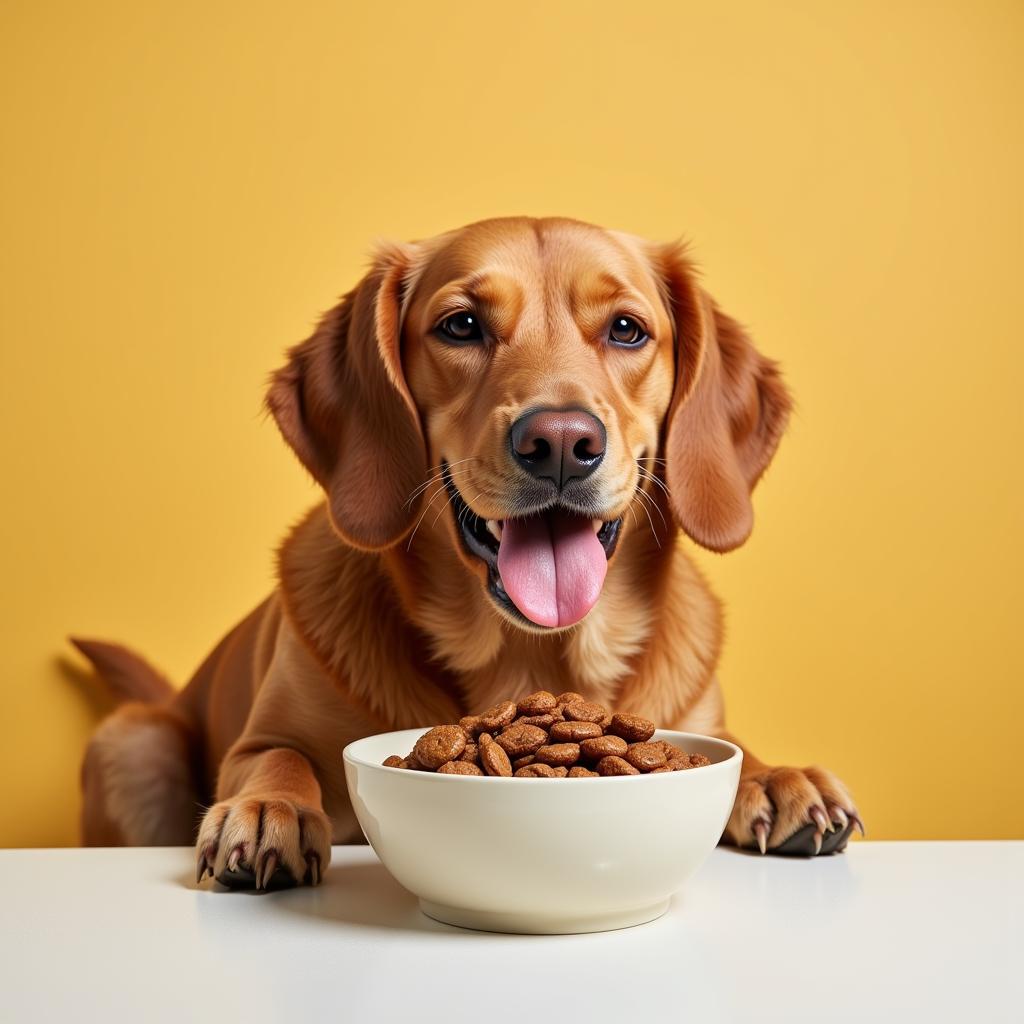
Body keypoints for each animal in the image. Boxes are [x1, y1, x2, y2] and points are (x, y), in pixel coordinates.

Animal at [75, 216, 864, 888]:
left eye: (627, 329)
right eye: (461, 325)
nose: (561, 442)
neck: (529, 657)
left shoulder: (701, 724)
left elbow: (737, 745)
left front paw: (776, 777)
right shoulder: (259, 738)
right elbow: (278, 756)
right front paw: (271, 808)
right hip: (132, 744)